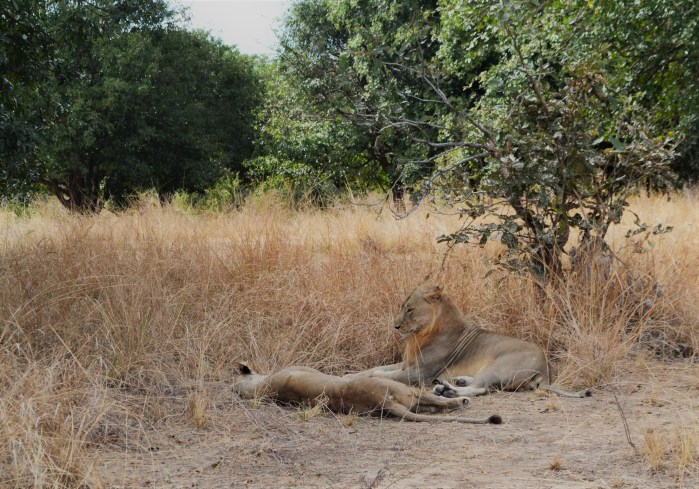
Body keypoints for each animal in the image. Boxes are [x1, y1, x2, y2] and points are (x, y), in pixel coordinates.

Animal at [348, 284, 591, 399]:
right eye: (401, 307)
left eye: (410, 309)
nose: (395, 326)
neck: (419, 336)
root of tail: (546, 370)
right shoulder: (406, 364)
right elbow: (374, 368)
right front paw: (349, 375)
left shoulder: (420, 373)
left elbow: (379, 374)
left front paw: (360, 379)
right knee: (477, 385)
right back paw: (456, 382)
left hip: (497, 367)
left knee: (480, 389)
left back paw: (447, 390)